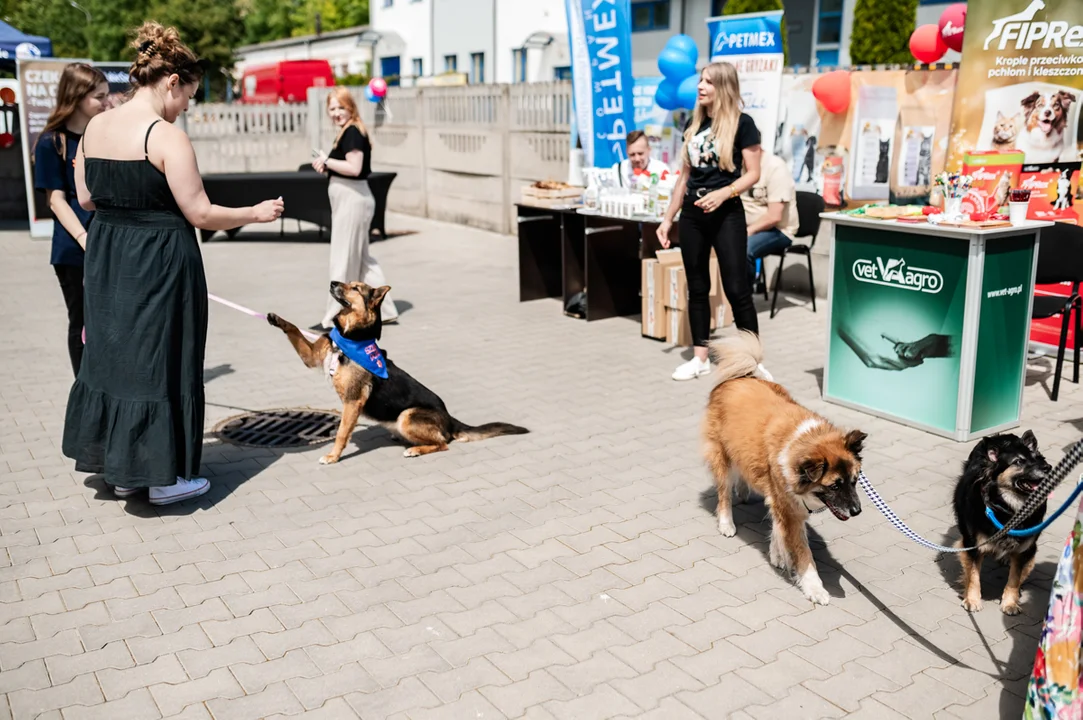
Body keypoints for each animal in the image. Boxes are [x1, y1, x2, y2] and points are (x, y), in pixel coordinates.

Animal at [266, 277, 528, 463]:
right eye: (348, 282)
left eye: (355, 288)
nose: (332, 282)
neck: (348, 339)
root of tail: (450, 420)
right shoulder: (311, 357)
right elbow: (293, 329)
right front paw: (276, 318)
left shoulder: (352, 402)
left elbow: (341, 432)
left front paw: (333, 456)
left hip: (407, 416)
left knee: (443, 443)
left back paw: (415, 449)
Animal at [701, 333, 870, 601]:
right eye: (834, 485)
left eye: (854, 481)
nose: (857, 511)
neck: (805, 441)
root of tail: (741, 376)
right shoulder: (788, 507)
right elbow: (803, 553)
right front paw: (815, 588)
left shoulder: (785, 503)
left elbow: (778, 527)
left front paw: (777, 554)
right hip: (721, 455)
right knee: (723, 493)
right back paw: (726, 523)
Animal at [957, 428, 1048, 614]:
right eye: (1018, 461)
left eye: (1037, 458)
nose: (1047, 467)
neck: (1008, 510)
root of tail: (1003, 436)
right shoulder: (972, 545)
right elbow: (974, 575)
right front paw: (972, 599)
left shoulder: (1025, 549)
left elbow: (1015, 578)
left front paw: (1010, 603)